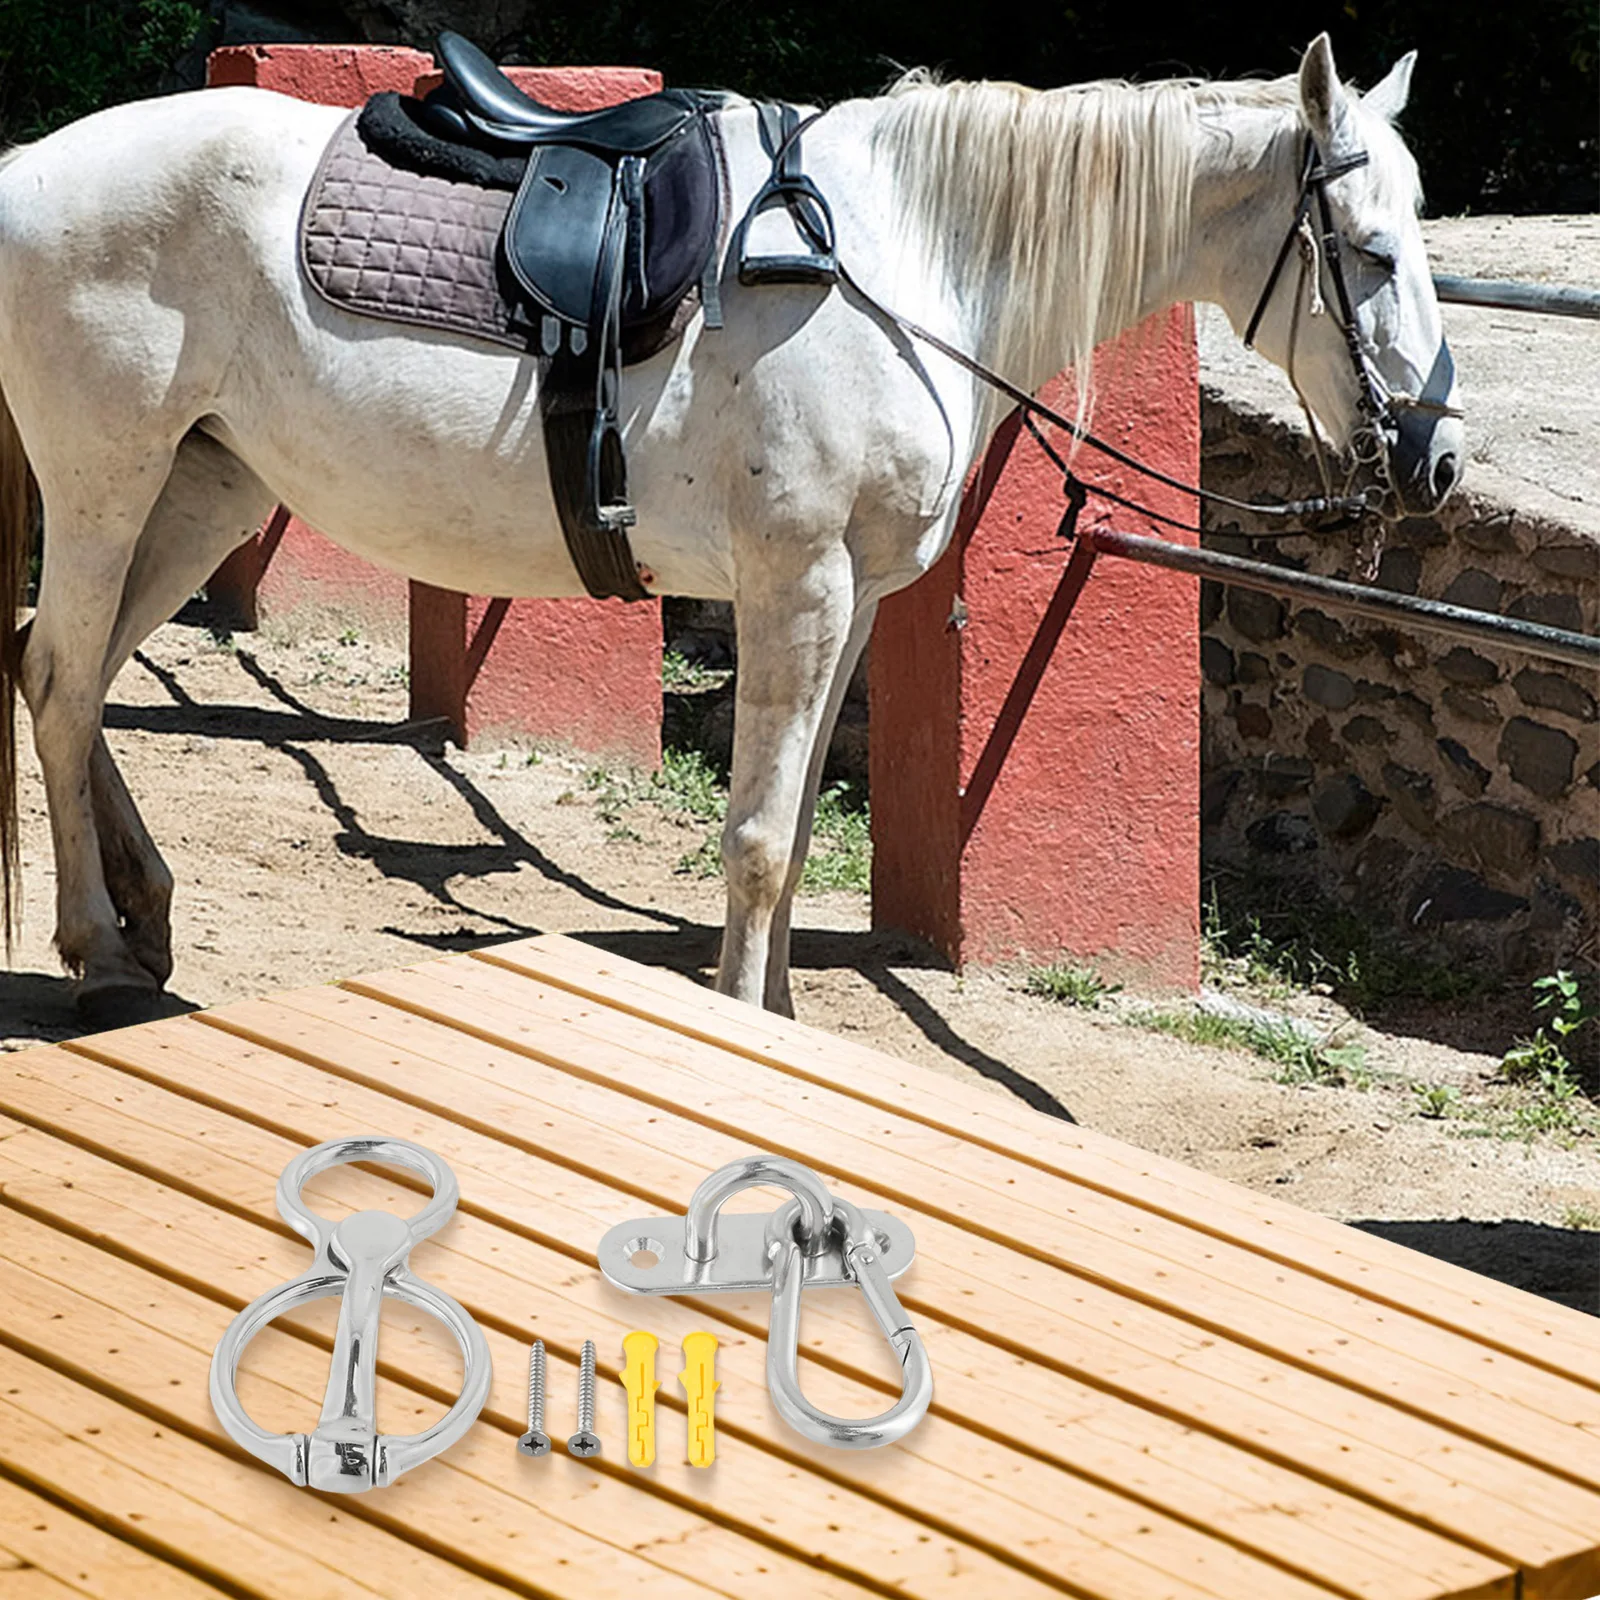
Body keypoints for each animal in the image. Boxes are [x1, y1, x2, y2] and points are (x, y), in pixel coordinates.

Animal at [0, 34, 1462, 1021]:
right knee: (63, 679)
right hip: (107, 477)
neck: (902, 261)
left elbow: (803, 830)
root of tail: (27, 164)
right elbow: (757, 842)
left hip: (207, 486)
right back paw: (95, 946)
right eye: (1372, 252)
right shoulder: (795, 582)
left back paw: (145, 914)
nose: (1437, 459)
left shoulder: (855, 596)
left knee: (78, 678)